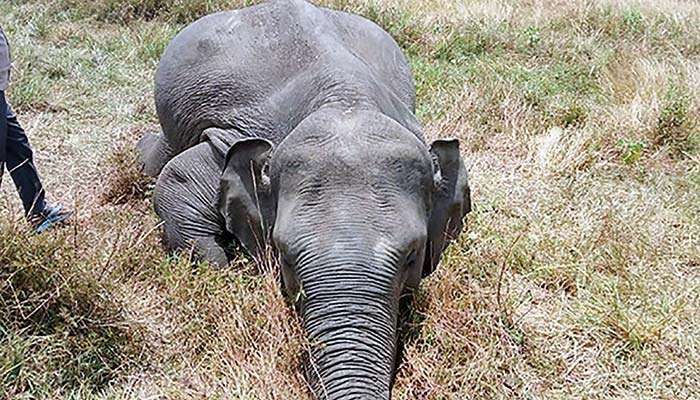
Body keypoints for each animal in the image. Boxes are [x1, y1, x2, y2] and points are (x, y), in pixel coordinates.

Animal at [138, 0, 471, 398]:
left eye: (412, 255)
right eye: (285, 256)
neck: (344, 102)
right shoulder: (240, 131)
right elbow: (178, 177)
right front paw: (222, 269)